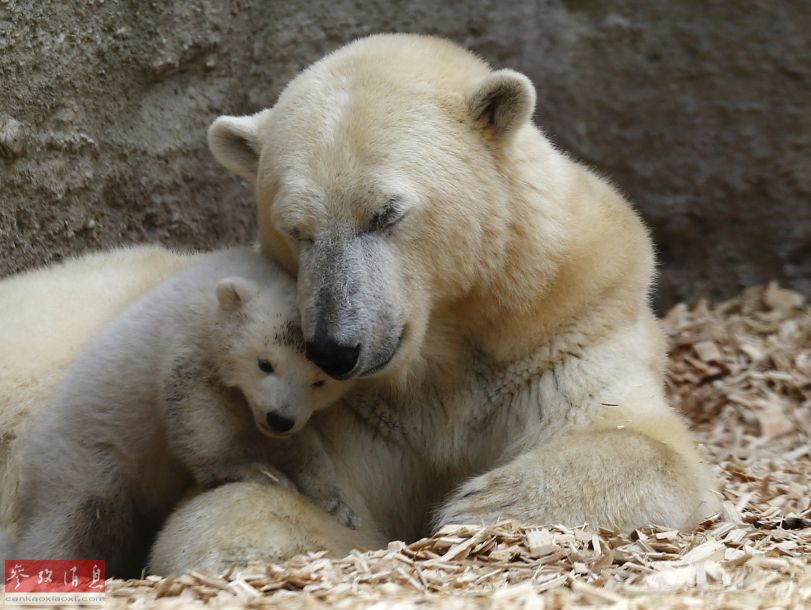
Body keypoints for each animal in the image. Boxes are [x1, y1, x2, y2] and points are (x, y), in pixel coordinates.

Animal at [151, 34, 716, 568]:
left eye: (386, 213)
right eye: (296, 229)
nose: (335, 349)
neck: (445, 346)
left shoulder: (566, 331)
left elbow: (642, 439)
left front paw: (483, 504)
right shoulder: (358, 412)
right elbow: (270, 493)